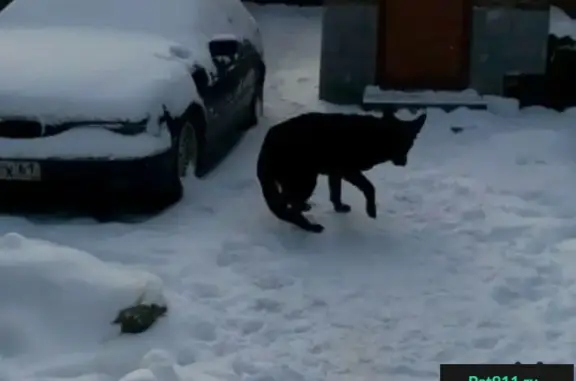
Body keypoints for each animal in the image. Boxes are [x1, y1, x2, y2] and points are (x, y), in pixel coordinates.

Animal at [256, 110, 428, 232]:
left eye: (409, 144)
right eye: (398, 143)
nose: (403, 163)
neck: (374, 135)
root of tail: (267, 143)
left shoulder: (336, 173)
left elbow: (335, 192)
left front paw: (338, 208)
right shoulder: (349, 171)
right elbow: (369, 187)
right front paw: (371, 210)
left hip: (296, 181)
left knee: (286, 201)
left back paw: (300, 210)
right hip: (307, 181)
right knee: (290, 207)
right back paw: (309, 227)